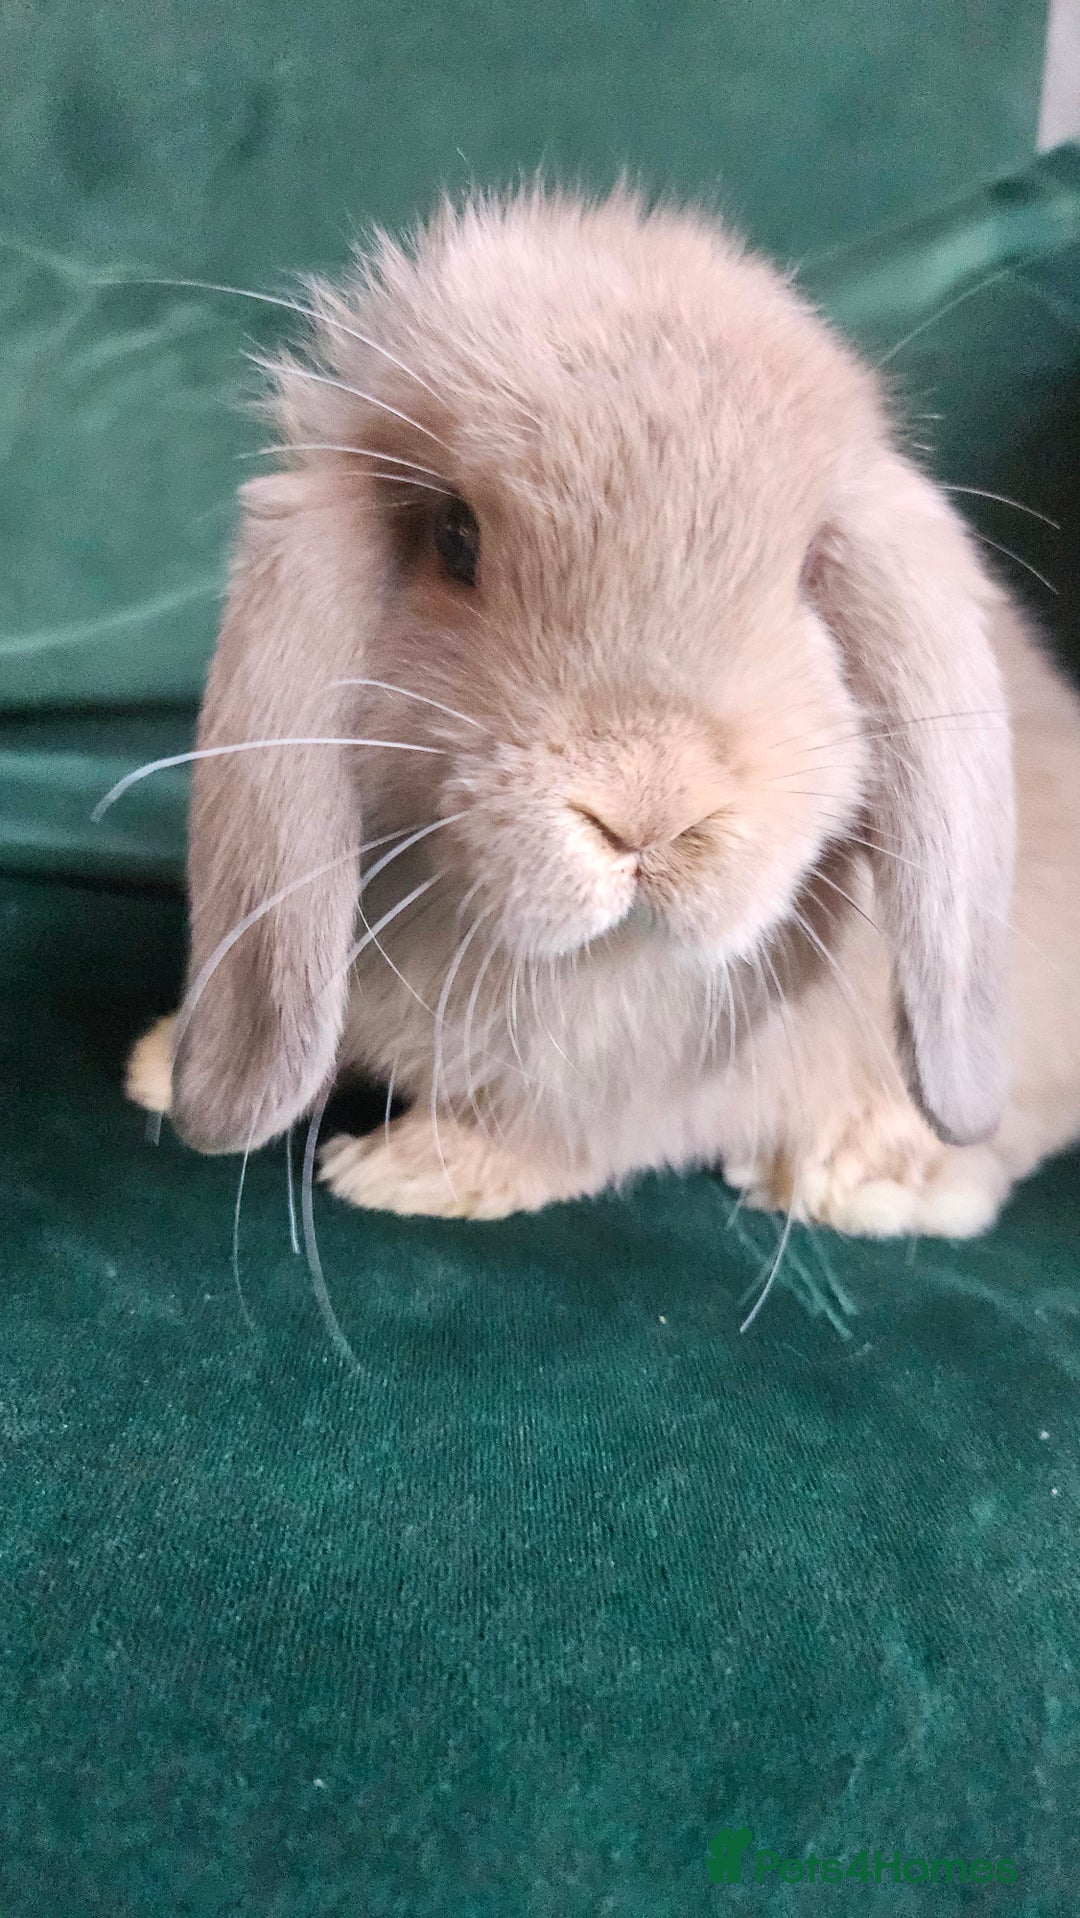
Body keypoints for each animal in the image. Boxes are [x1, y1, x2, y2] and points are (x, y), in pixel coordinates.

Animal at [126, 185, 1080, 1238]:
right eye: (455, 536)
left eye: (807, 574)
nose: (648, 817)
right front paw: (157, 1069)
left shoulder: (614, 1099)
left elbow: (549, 1140)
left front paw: (407, 1171)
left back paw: (853, 1178)